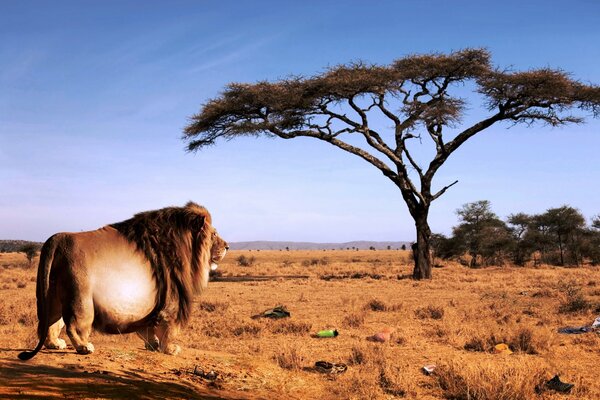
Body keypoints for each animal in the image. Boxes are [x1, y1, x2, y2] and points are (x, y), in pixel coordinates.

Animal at [17, 202, 227, 360]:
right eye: (214, 234)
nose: (227, 246)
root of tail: (57, 239)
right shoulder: (171, 300)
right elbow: (168, 328)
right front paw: (169, 349)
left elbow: (148, 329)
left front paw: (153, 345)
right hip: (81, 297)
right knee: (74, 325)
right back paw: (84, 347)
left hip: (50, 296)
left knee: (49, 323)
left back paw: (55, 344)